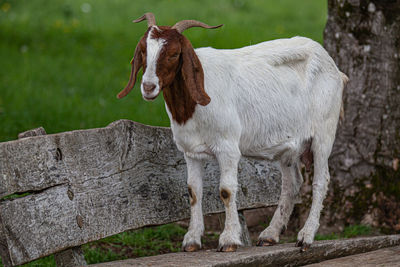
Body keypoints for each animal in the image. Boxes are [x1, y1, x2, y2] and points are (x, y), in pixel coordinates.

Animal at [117, 12, 348, 254]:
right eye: (143, 51)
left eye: (173, 53)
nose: (148, 87)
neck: (193, 105)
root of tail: (335, 69)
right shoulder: (190, 151)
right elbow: (193, 192)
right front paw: (191, 240)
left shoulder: (227, 148)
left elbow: (226, 191)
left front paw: (228, 239)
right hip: (289, 146)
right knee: (292, 184)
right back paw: (270, 234)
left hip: (323, 133)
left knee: (321, 181)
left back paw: (306, 236)